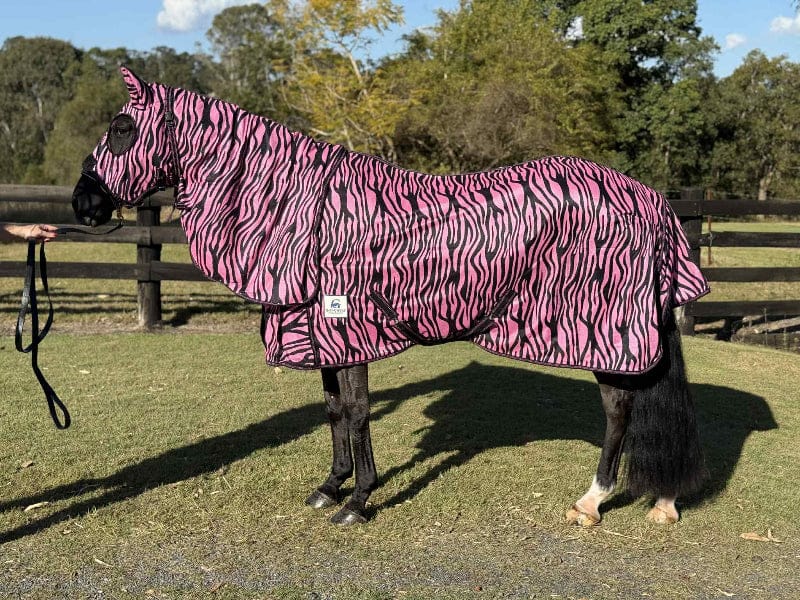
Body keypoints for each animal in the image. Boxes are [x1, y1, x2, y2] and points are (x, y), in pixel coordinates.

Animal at [72, 67, 709, 526]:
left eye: (123, 128)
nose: (84, 204)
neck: (302, 209)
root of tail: (653, 202)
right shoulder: (320, 335)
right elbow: (333, 412)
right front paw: (329, 488)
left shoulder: (351, 332)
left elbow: (357, 413)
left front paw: (359, 501)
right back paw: (659, 501)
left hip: (610, 335)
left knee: (619, 411)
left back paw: (593, 501)